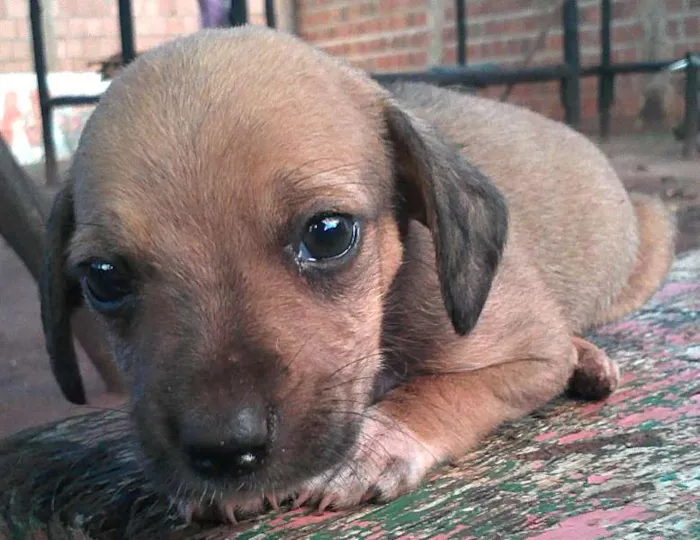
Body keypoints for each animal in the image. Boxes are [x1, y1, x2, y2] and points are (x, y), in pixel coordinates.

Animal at [39, 26, 680, 524]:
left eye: (328, 233)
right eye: (103, 277)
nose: (225, 453)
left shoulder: (530, 354)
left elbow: (443, 387)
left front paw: (377, 440)